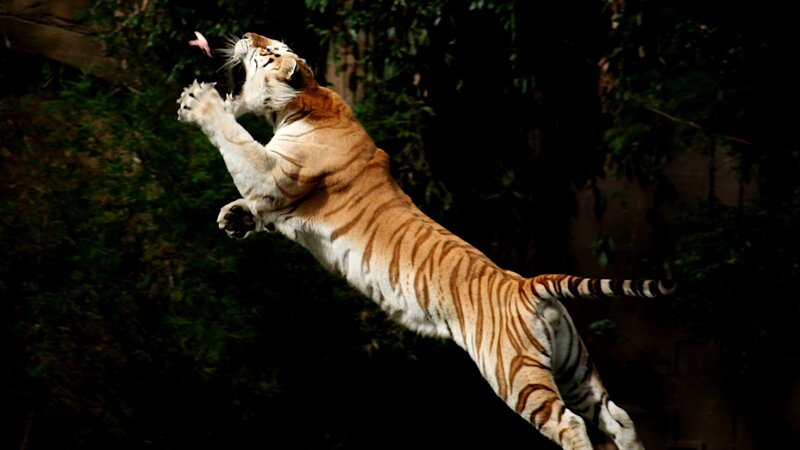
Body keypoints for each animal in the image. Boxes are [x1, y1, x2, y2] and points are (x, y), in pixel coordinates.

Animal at [176, 32, 674, 450]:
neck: (301, 101)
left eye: (268, 49)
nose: (247, 33)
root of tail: (525, 284)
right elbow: (250, 190)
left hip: (515, 373)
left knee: (570, 423)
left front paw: (199, 103)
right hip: (574, 366)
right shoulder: (274, 192)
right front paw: (233, 218)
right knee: (617, 416)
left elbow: (238, 143)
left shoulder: (275, 176)